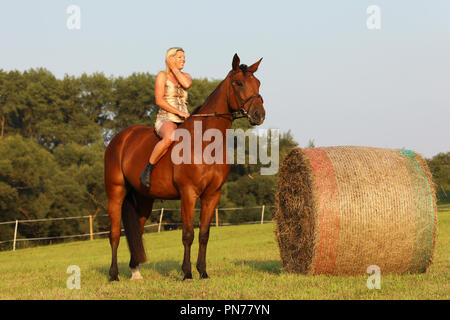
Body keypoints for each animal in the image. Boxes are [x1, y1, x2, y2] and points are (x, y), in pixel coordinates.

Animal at [105, 53, 266, 282]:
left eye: (258, 83)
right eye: (239, 83)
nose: (259, 114)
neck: (205, 142)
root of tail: (120, 138)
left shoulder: (212, 195)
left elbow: (204, 234)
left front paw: (203, 272)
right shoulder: (188, 193)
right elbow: (188, 234)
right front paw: (187, 273)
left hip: (144, 199)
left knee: (137, 230)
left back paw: (135, 272)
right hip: (115, 193)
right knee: (114, 234)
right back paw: (113, 275)